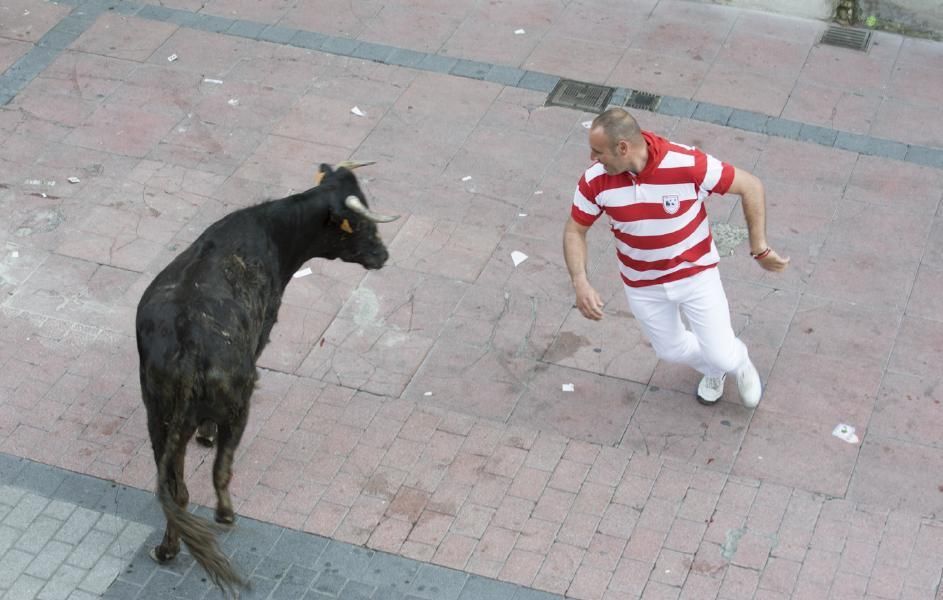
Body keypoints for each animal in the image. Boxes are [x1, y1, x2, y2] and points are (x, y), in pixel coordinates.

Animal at [135, 164, 396, 596]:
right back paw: (225, 515)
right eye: (358, 222)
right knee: (219, 470)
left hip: (158, 417)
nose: (383, 255)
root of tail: (188, 344)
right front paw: (208, 436)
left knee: (174, 490)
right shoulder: (264, 330)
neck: (275, 230)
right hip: (238, 405)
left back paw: (167, 548)